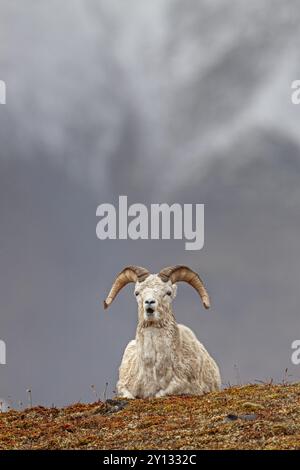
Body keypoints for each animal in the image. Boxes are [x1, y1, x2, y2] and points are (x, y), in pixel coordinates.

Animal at [103, 264, 220, 396]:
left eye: (168, 292)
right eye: (137, 293)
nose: (149, 302)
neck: (153, 371)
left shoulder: (183, 387)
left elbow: (162, 393)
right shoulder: (123, 387)